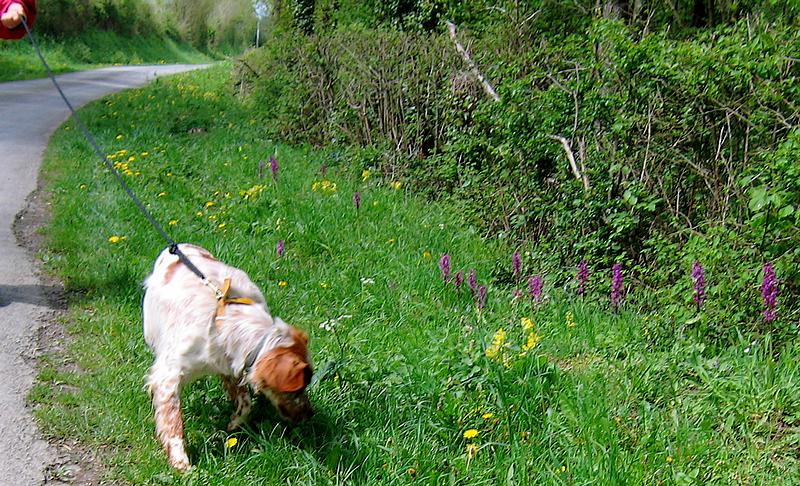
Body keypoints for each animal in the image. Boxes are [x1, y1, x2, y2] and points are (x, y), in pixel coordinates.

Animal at [142, 243, 310, 470]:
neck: (227, 320)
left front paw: (233, 423)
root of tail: (181, 245)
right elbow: (172, 421)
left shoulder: (231, 364)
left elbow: (245, 402)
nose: (310, 414)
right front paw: (181, 462)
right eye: (297, 390)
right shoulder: (168, 376)